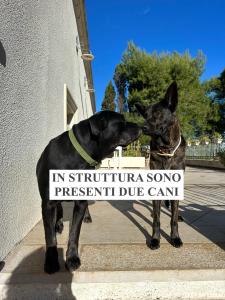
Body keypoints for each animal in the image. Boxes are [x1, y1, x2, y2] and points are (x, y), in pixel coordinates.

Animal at [36, 110, 142, 274]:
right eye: (122, 122)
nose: (141, 126)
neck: (78, 156)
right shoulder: (48, 202)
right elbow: (49, 235)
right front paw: (51, 261)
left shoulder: (80, 201)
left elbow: (74, 232)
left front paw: (72, 258)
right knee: (59, 209)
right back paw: (58, 224)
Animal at [136, 81, 185, 250]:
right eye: (145, 115)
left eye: (157, 113)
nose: (142, 127)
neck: (166, 150)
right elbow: (156, 218)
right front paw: (155, 239)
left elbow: (173, 218)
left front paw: (175, 237)